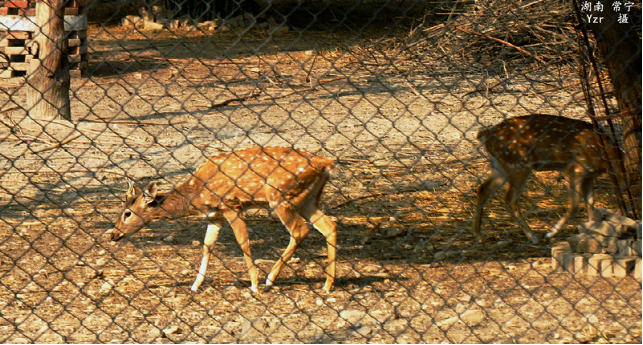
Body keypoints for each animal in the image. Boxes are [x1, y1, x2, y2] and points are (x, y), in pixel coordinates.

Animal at [109, 145, 342, 292]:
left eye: (127, 213)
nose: (113, 234)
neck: (197, 194)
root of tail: (326, 164)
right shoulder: (215, 216)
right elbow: (207, 245)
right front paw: (195, 285)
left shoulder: (232, 205)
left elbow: (243, 242)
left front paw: (254, 285)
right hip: (307, 199)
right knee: (329, 225)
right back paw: (327, 285)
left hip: (282, 197)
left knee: (300, 230)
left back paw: (269, 280)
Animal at [472, 115, 620, 242]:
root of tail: (485, 135)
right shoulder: (574, 169)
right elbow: (574, 206)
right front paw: (550, 233)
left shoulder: (589, 176)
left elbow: (590, 204)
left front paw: (590, 232)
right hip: (518, 165)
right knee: (509, 199)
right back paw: (532, 236)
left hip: (501, 166)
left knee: (483, 188)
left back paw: (479, 235)